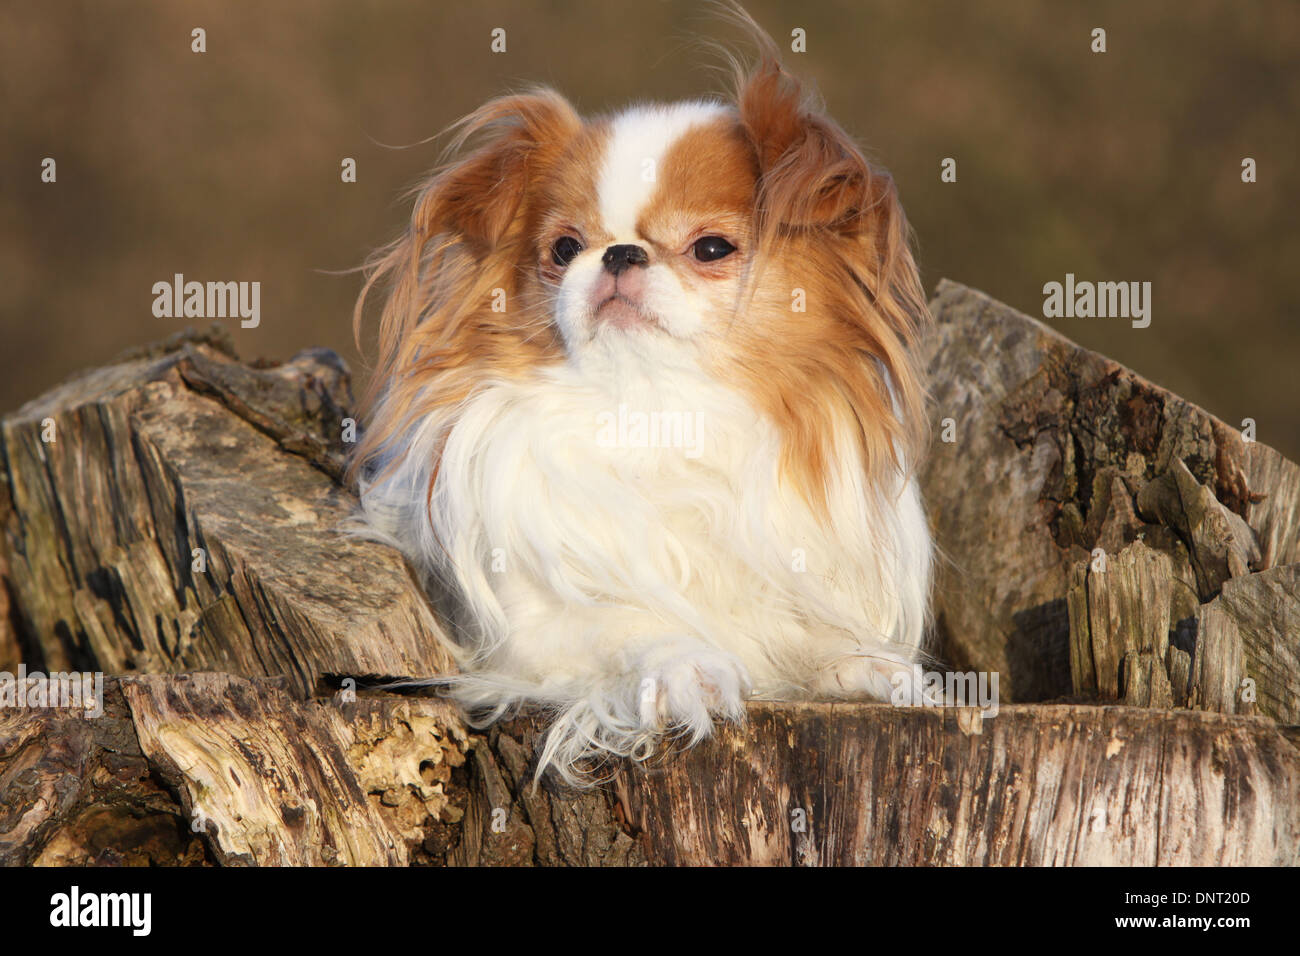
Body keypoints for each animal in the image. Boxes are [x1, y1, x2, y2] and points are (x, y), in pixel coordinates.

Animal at [351, 7, 930, 785]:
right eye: (564, 250)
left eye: (711, 248)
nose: (619, 253)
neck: (655, 411)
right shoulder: (529, 633)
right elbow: (628, 623)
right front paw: (687, 666)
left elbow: (801, 629)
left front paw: (866, 663)